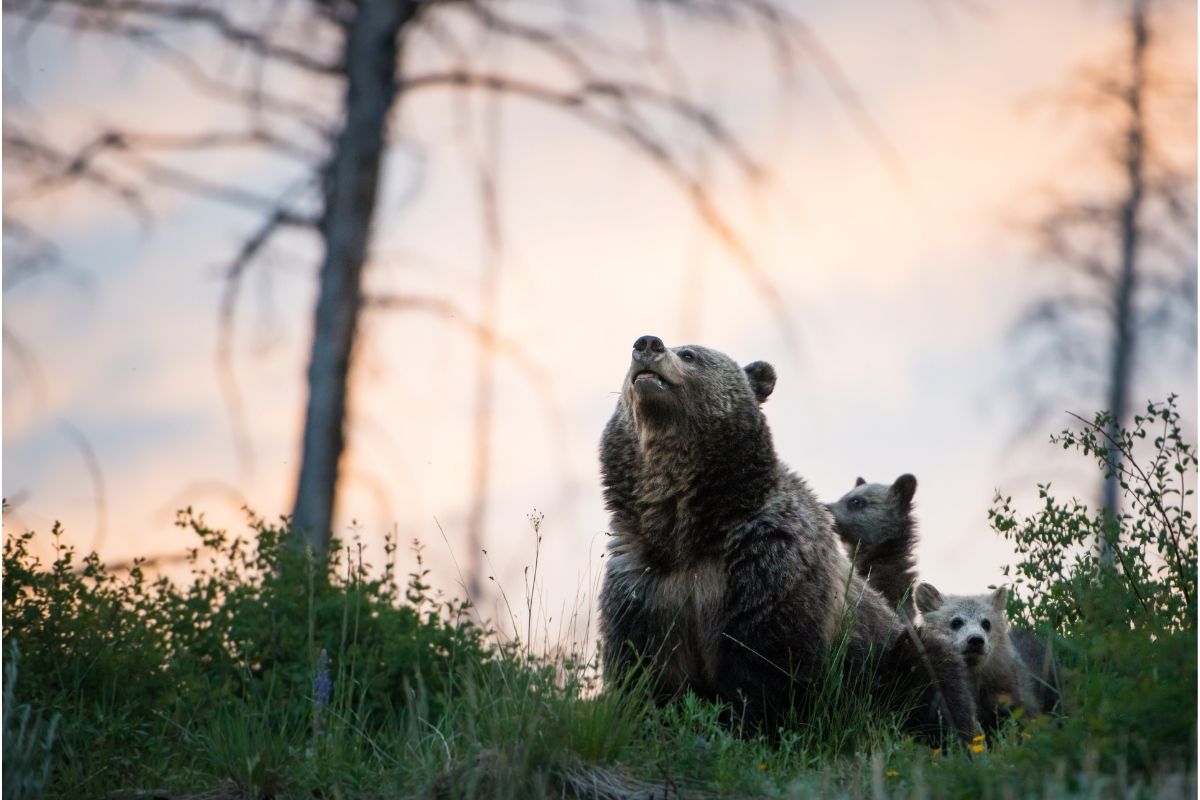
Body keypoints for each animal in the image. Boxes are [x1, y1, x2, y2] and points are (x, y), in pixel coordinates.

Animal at [595, 335, 979, 743]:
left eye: (689, 354)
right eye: (630, 358)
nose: (647, 344)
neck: (692, 529)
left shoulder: (767, 567)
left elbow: (770, 665)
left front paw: (746, 727)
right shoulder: (647, 583)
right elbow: (643, 667)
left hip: (890, 654)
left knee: (929, 667)